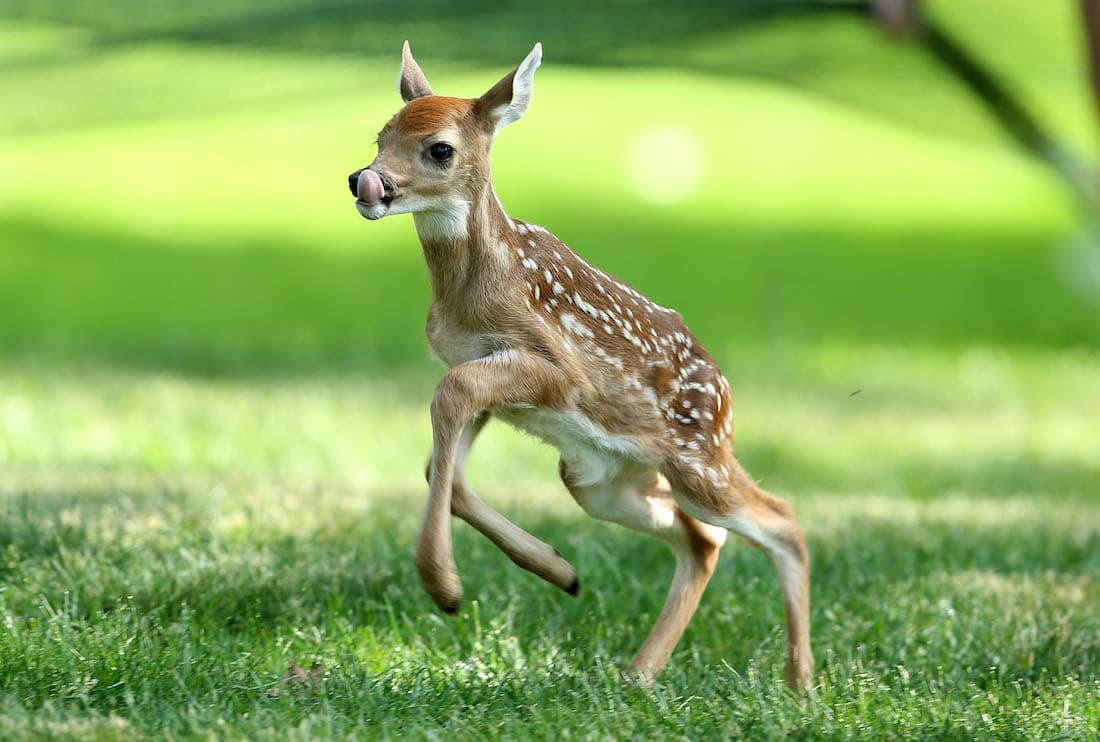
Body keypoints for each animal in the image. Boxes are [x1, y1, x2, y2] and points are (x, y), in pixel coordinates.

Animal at [347, 41, 814, 690]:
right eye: (380, 136)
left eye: (439, 148)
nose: (366, 181)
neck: (474, 288)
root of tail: (725, 391)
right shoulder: (487, 371)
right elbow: (445, 465)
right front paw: (557, 569)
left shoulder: (558, 370)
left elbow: (449, 398)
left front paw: (442, 585)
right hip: (601, 479)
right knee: (703, 539)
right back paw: (640, 672)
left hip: (699, 460)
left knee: (780, 520)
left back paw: (801, 685)